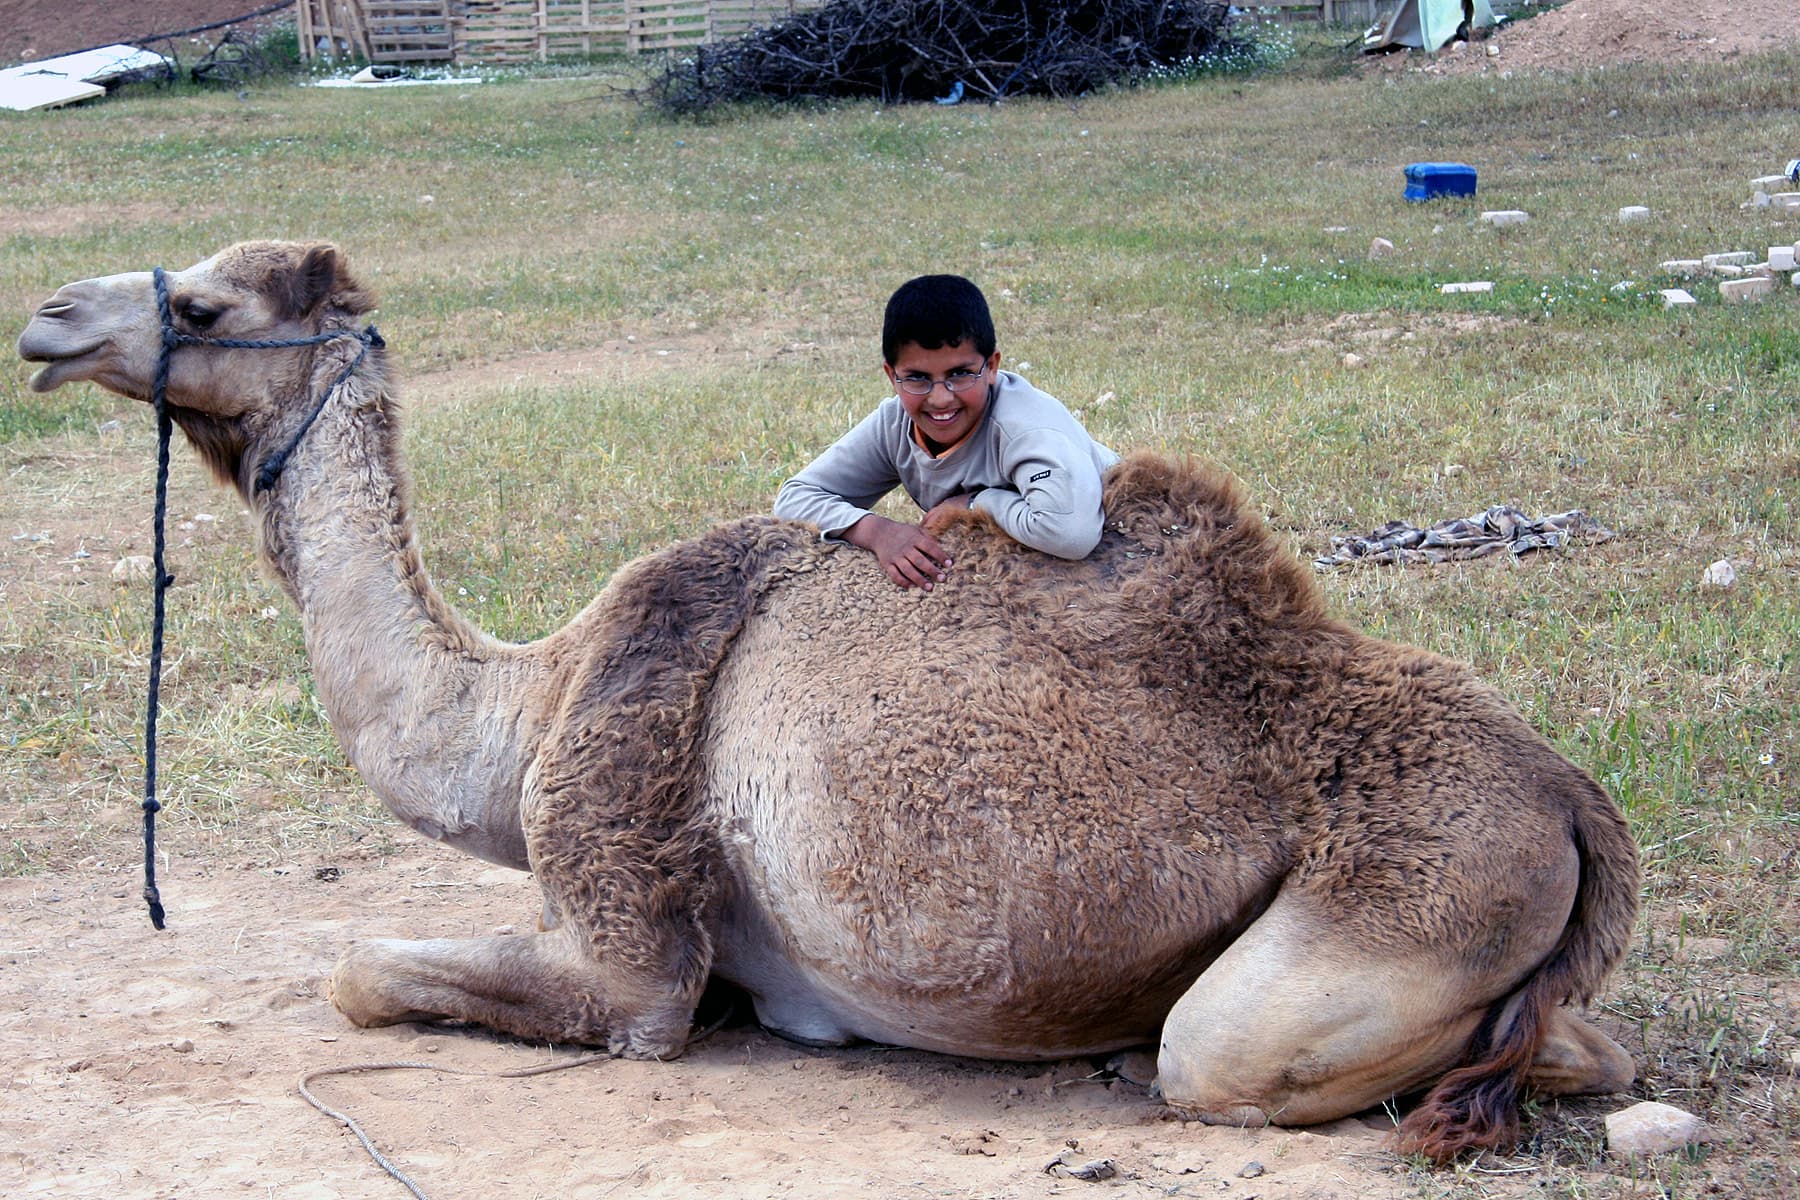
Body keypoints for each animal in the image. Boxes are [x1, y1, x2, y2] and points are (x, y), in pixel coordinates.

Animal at [17, 242, 1640, 1162]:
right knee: (1576, 1044)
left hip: (1408, 898)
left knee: (1242, 1052)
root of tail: (1574, 801)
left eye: (204, 301)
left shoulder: (631, 942)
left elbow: (365, 970)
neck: (529, 704)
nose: (45, 318)